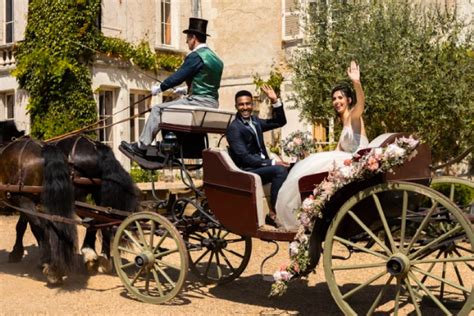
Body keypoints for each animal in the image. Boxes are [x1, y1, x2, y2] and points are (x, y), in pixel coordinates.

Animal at [0, 121, 78, 284]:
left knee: (41, 227)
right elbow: (21, 227)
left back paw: (50, 265)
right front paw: (16, 252)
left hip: (25, 200)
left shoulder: (23, 201)